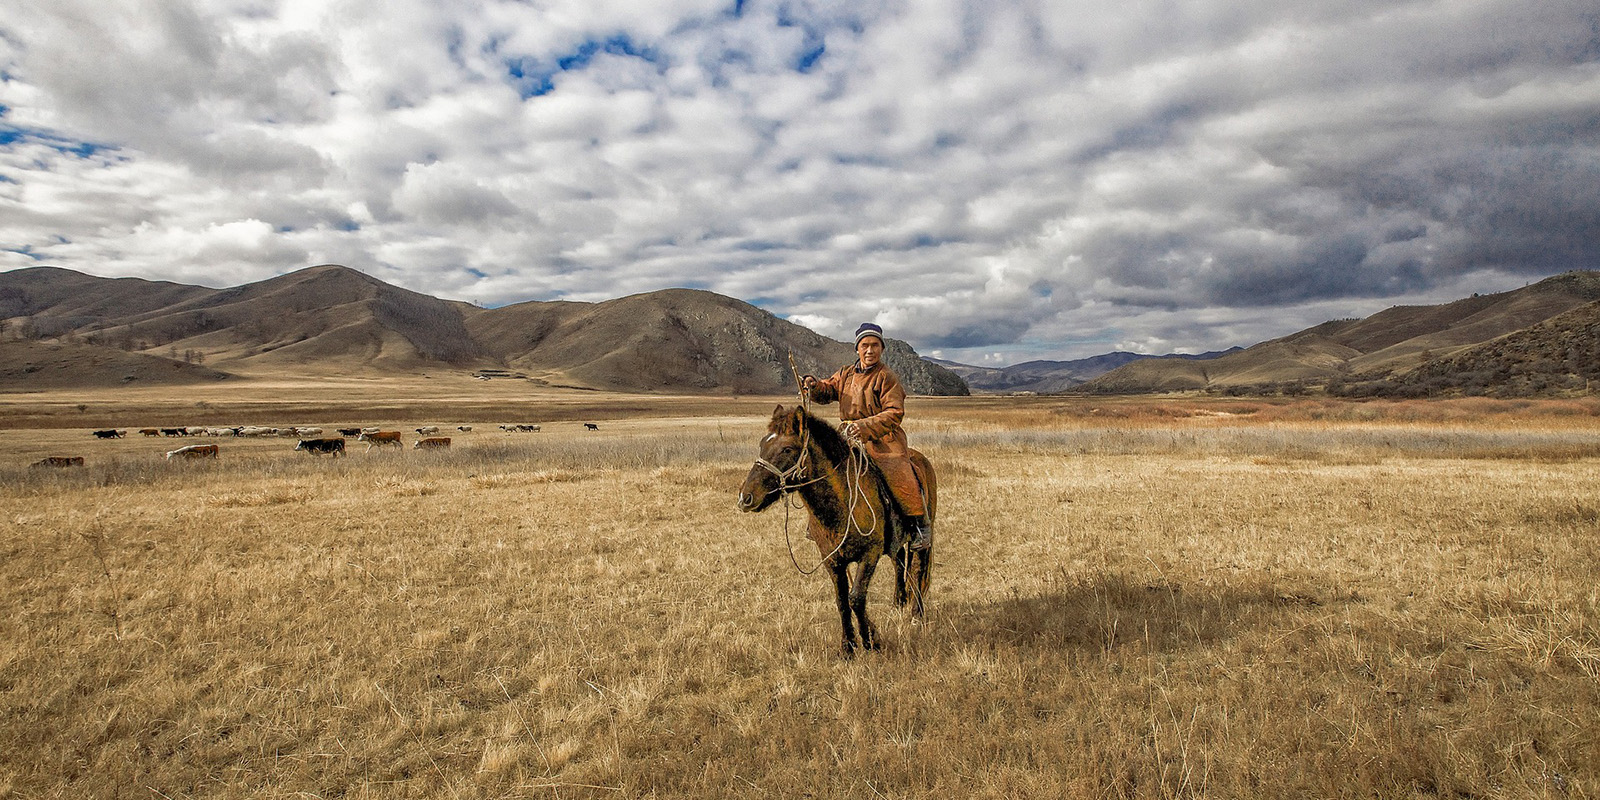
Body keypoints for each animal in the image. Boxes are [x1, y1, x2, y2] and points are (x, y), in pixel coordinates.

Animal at [739, 406, 934, 656]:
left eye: (787, 449)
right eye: (762, 444)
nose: (746, 497)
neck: (842, 503)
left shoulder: (869, 555)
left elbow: (856, 598)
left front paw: (870, 641)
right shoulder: (832, 560)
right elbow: (842, 600)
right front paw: (848, 646)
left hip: (923, 534)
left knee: (918, 569)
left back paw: (917, 615)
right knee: (899, 561)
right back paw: (898, 603)